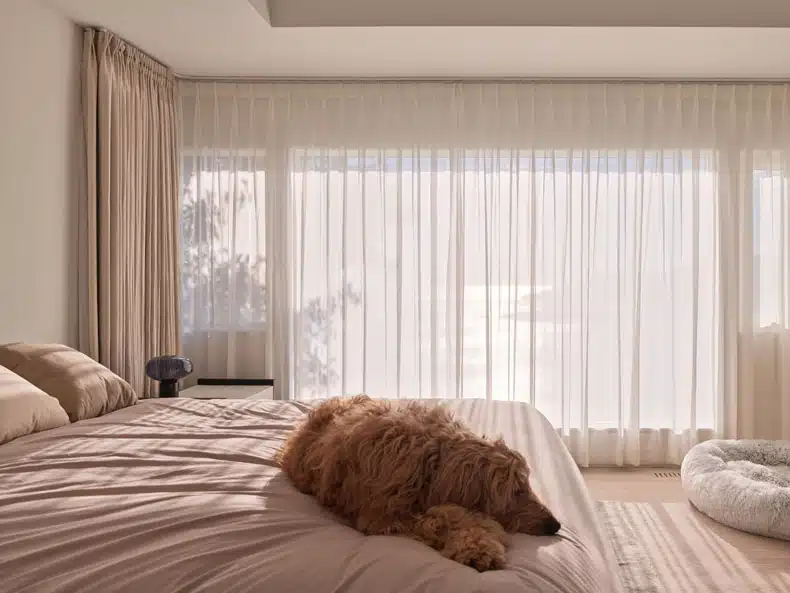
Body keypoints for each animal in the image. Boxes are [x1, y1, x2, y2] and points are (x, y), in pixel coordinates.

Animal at [280, 396, 564, 572]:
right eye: (516, 491)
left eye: (526, 485)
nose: (556, 525)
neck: (431, 460)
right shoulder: (384, 517)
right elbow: (446, 517)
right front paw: (480, 547)